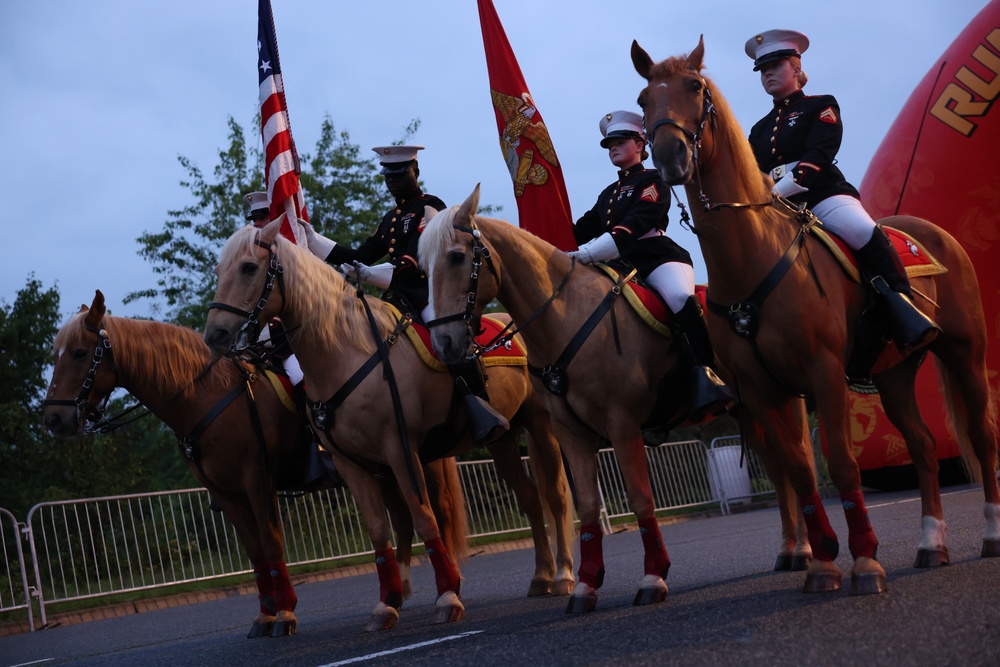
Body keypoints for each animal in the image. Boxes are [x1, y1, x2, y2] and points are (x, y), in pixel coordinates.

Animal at [43, 292, 468, 636]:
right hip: (379, 466)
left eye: (80, 353)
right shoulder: (225, 493)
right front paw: (265, 615)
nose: (54, 419)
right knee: (402, 519)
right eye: (55, 356)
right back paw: (401, 592)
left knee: (434, 511)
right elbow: (254, 552)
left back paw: (446, 587)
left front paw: (285, 614)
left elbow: (270, 541)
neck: (205, 395)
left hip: (411, 458)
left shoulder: (257, 481)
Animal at [202, 220, 576, 632]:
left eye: (249, 267)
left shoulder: (400, 450)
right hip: (503, 440)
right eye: (219, 271)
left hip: (540, 425)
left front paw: (447, 596)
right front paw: (385, 604)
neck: (346, 352)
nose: (215, 335)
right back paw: (541, 576)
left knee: (555, 496)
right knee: (530, 498)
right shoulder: (353, 464)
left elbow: (424, 518)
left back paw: (563, 575)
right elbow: (379, 530)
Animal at [414, 189, 712, 616]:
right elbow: (586, 504)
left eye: (456, 257)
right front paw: (585, 585)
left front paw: (653, 577)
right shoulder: (571, 432)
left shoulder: (622, 425)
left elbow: (640, 497)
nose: (445, 344)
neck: (567, 315)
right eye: (423, 268)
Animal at [632, 34, 1000, 592]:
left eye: (694, 86)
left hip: (964, 353)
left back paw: (991, 535)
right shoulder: (764, 390)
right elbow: (802, 473)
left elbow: (844, 466)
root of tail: (933, 233)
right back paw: (930, 544)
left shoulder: (824, 374)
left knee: (981, 435)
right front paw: (824, 563)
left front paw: (865, 561)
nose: (670, 157)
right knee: (922, 446)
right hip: (892, 373)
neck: (752, 257)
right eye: (642, 99)